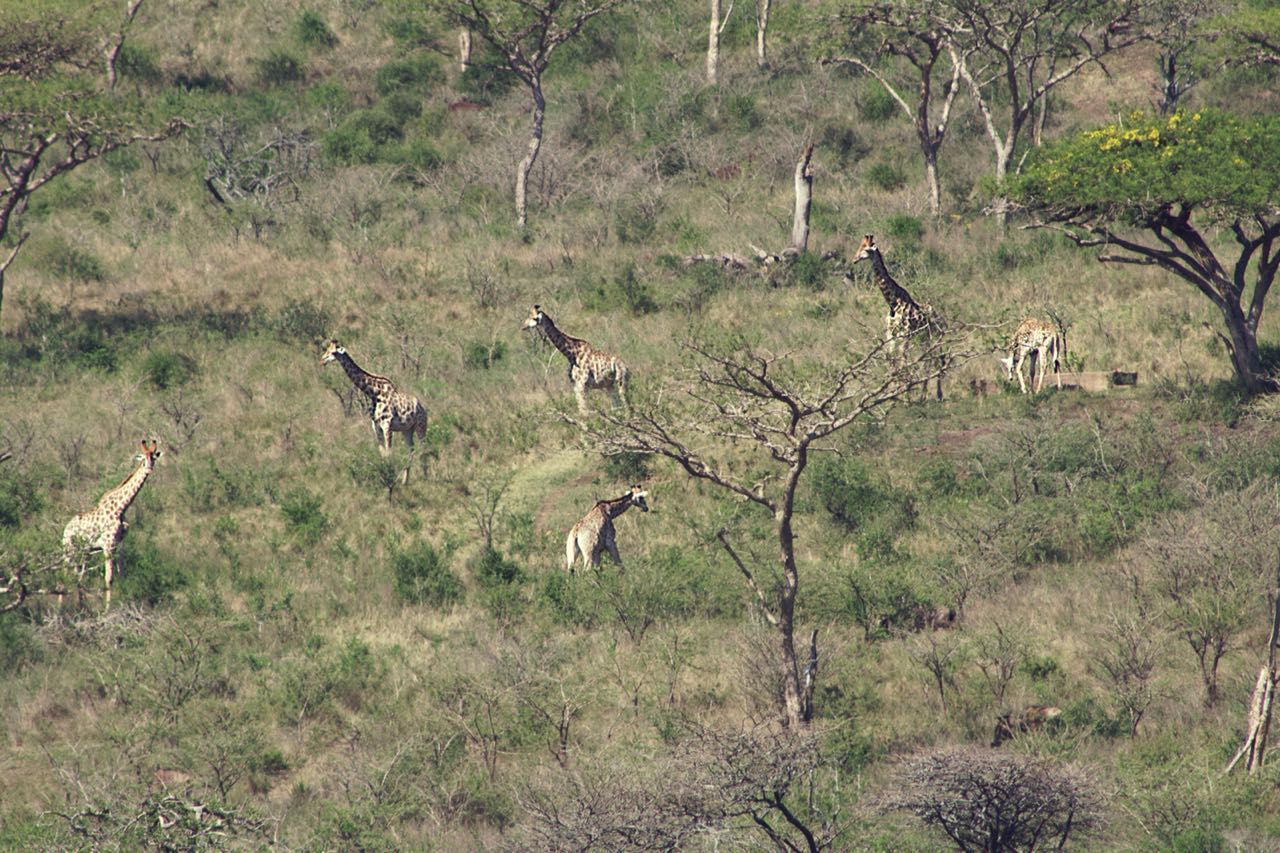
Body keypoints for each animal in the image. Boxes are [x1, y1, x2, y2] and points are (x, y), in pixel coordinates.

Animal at [62, 438, 161, 604]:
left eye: (153, 458)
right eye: (143, 460)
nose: (149, 470)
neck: (122, 508)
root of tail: (65, 529)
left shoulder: (120, 545)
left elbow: (121, 576)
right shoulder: (108, 545)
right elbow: (109, 579)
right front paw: (107, 609)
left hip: (85, 551)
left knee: (80, 576)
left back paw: (81, 606)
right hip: (69, 549)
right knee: (65, 575)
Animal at [322, 340, 427, 479]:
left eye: (333, 352)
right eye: (326, 350)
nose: (322, 360)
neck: (374, 394)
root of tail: (422, 408)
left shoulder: (387, 425)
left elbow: (389, 453)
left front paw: (389, 475)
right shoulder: (376, 427)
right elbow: (382, 454)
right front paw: (386, 474)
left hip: (420, 426)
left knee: (423, 450)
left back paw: (425, 478)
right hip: (407, 430)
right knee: (411, 451)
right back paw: (405, 481)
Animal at [849, 233, 952, 399]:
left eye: (866, 249)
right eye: (859, 246)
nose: (854, 259)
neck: (894, 303)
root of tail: (940, 317)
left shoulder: (906, 335)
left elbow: (903, 362)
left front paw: (905, 394)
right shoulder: (890, 335)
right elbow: (892, 362)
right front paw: (893, 393)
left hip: (934, 336)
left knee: (935, 360)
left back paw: (937, 395)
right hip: (924, 338)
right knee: (928, 361)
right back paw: (923, 395)